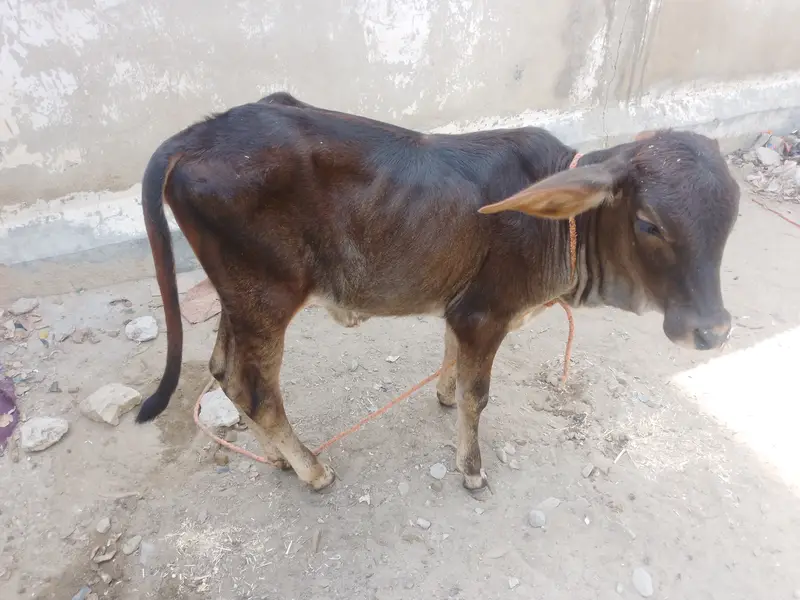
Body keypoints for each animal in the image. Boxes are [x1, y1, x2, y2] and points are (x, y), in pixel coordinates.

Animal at [134, 92, 739, 494]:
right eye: (649, 224)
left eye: (730, 219)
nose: (713, 330)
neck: (559, 227)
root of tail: (197, 136)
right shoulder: (484, 314)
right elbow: (478, 396)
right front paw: (471, 469)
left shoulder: (460, 309)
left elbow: (452, 367)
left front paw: (444, 394)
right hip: (267, 298)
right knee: (255, 390)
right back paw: (312, 469)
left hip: (237, 300)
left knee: (223, 372)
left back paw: (280, 458)